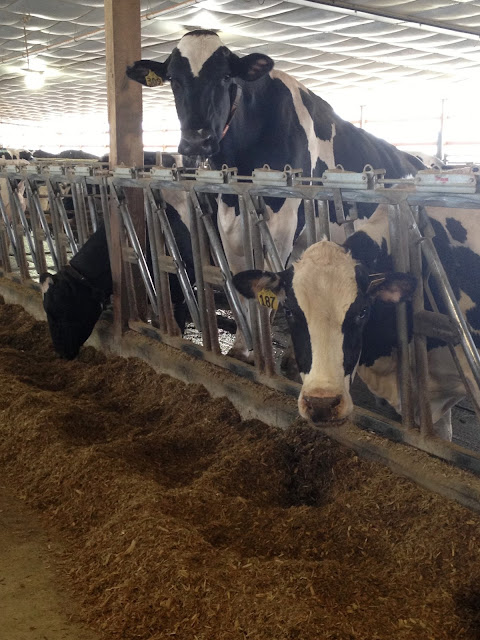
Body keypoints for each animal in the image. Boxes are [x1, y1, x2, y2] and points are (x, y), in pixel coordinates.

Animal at [126, 29, 425, 359]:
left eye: (226, 76)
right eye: (173, 79)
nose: (196, 142)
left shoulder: (283, 223)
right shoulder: (228, 220)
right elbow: (244, 286)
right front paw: (242, 349)